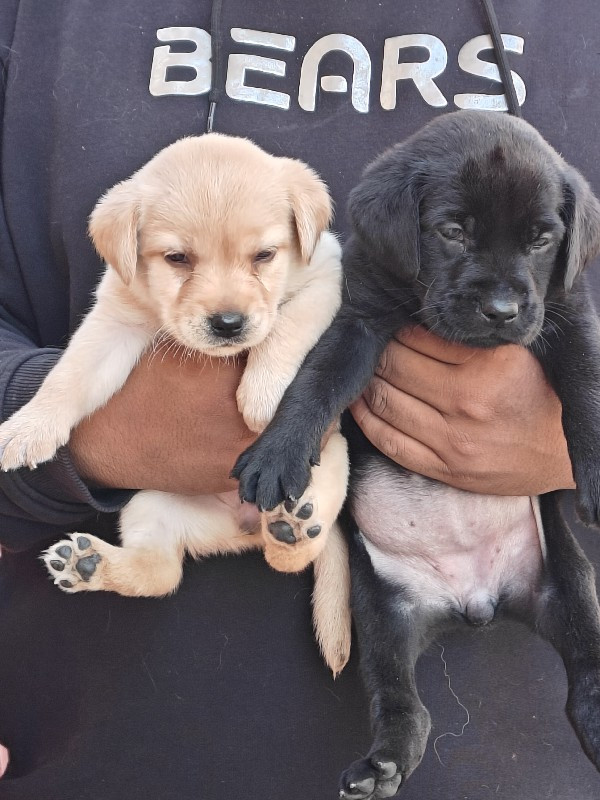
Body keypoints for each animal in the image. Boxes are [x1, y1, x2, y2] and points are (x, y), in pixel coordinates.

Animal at [0, 138, 352, 676]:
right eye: (178, 258)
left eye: (264, 255)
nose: (228, 323)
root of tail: (244, 526)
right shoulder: (112, 320)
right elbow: (69, 376)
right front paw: (28, 427)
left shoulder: (327, 273)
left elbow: (288, 327)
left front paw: (262, 395)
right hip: (149, 506)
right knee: (162, 574)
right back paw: (89, 564)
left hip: (332, 460)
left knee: (293, 558)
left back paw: (290, 526)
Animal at [232, 111, 600, 792]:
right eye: (452, 232)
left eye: (542, 240)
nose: (502, 310)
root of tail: (475, 601)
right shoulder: (361, 318)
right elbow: (315, 380)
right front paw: (278, 453)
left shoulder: (567, 312)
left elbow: (587, 385)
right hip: (382, 611)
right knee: (404, 703)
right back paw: (382, 765)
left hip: (567, 582)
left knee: (588, 666)